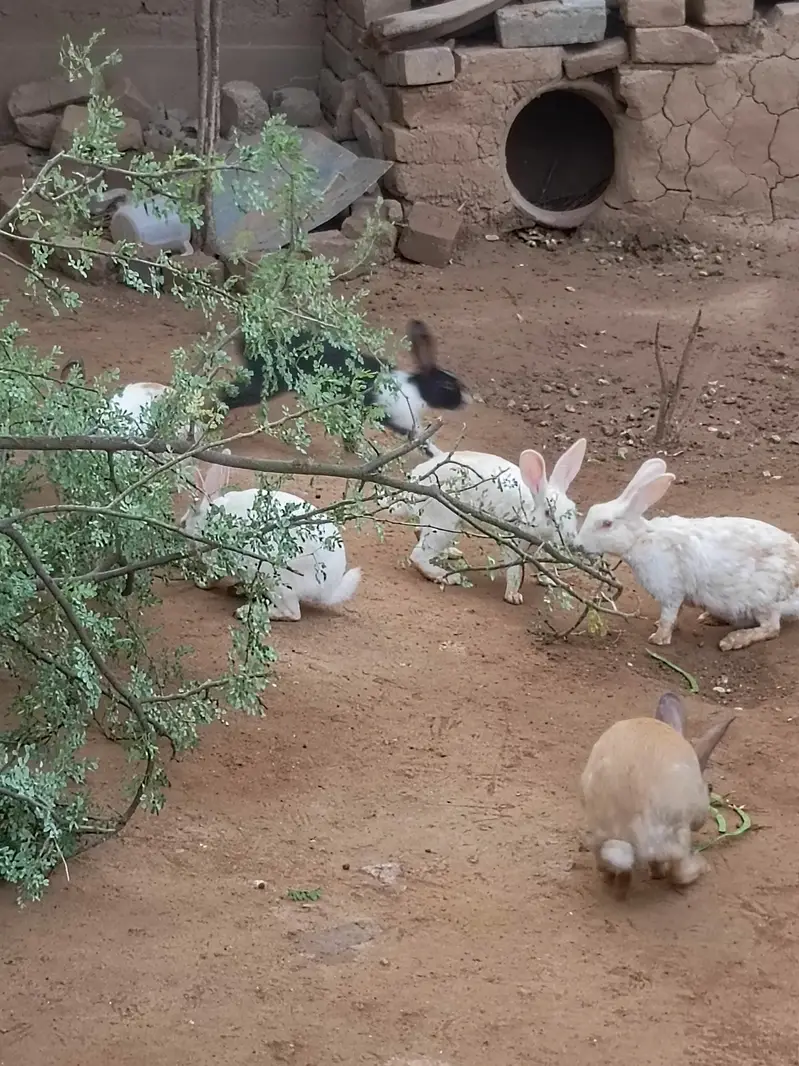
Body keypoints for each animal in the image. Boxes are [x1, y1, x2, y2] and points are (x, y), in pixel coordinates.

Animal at [179, 462, 362, 621]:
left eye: (183, 523)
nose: (180, 528)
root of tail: (329, 588)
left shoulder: (217, 561)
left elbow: (212, 578)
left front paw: (199, 582)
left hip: (275, 580)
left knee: (293, 613)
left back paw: (244, 612)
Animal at [219, 319, 471, 458]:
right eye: (448, 386)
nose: (469, 399)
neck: (415, 390)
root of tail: (248, 341)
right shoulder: (403, 419)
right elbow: (423, 442)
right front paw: (440, 456)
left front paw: (353, 448)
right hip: (267, 382)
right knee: (227, 395)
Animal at [383, 438, 586, 605]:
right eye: (548, 513)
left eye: (573, 509)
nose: (570, 539)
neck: (529, 509)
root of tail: (415, 483)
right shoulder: (513, 542)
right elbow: (514, 571)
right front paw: (513, 596)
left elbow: (543, 565)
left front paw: (550, 580)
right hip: (444, 525)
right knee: (417, 555)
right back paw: (446, 577)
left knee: (419, 532)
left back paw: (451, 554)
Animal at [575, 456, 799, 651]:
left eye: (606, 524)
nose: (578, 544)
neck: (640, 540)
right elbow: (676, 614)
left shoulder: (671, 592)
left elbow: (668, 615)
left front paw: (658, 639)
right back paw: (710, 618)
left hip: (764, 600)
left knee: (771, 628)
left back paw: (732, 641)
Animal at [580, 691, 735, 899]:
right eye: (710, 787)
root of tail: (623, 836)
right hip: (677, 836)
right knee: (678, 873)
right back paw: (700, 867)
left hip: (598, 840)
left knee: (611, 873)